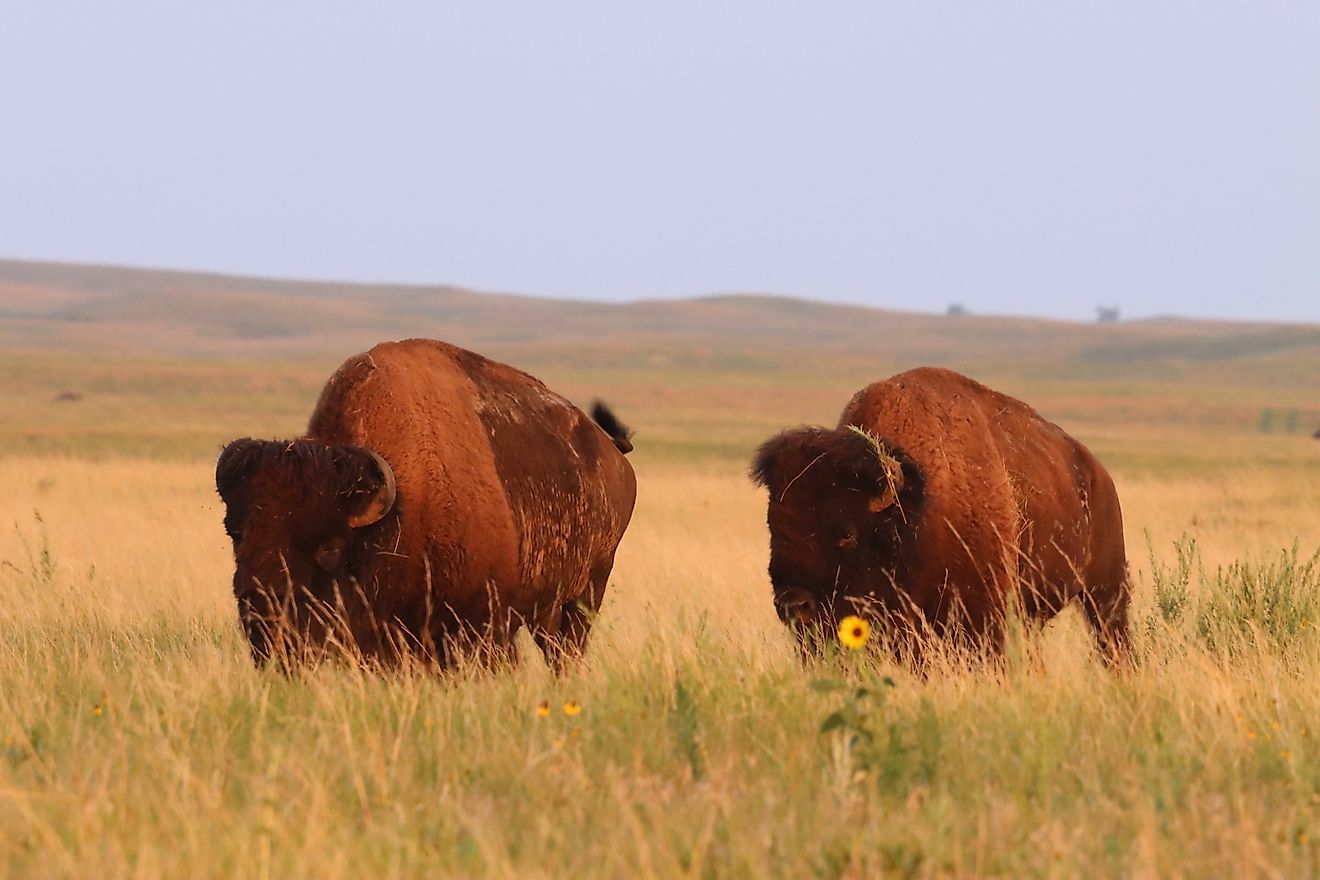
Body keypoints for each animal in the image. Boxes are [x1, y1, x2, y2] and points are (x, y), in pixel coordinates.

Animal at [216, 339, 636, 669]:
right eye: (236, 535)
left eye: (330, 548)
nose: (260, 616)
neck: (399, 507)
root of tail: (614, 454)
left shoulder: (481, 625)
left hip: (584, 596)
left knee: (565, 653)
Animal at [751, 367, 1130, 665]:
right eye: (773, 526)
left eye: (847, 533)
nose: (792, 605)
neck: (914, 510)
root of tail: (1098, 474)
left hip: (1105, 593)